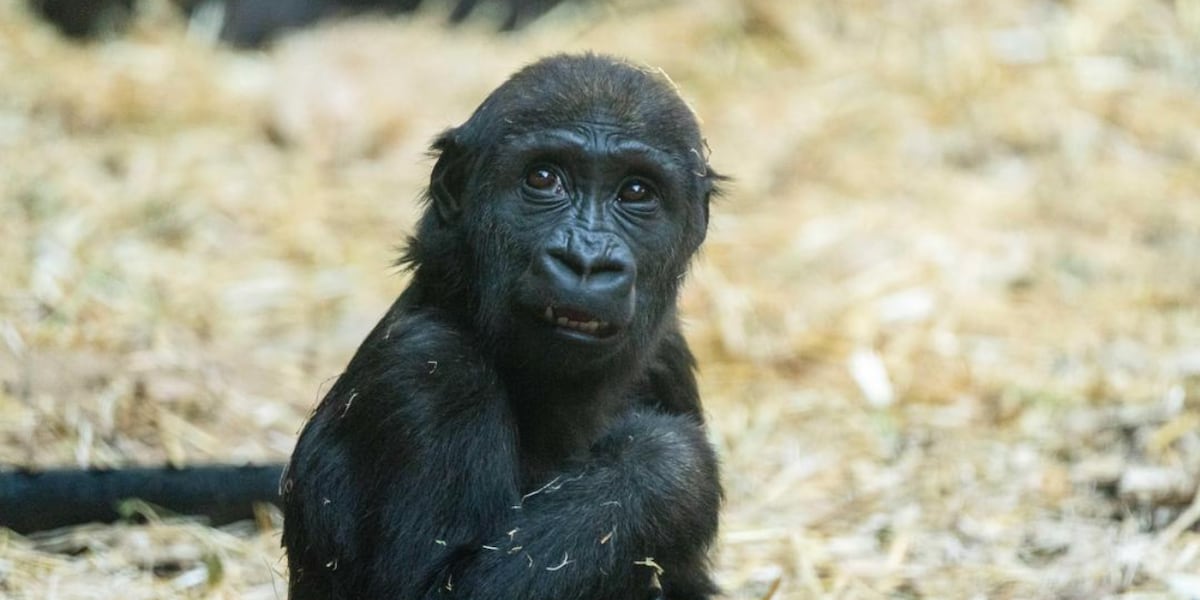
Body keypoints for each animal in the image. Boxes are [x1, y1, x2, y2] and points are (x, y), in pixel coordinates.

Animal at [283, 54, 720, 597]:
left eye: (636, 191)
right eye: (543, 179)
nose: (586, 261)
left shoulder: (668, 358)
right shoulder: (433, 370)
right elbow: (438, 587)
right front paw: (668, 465)